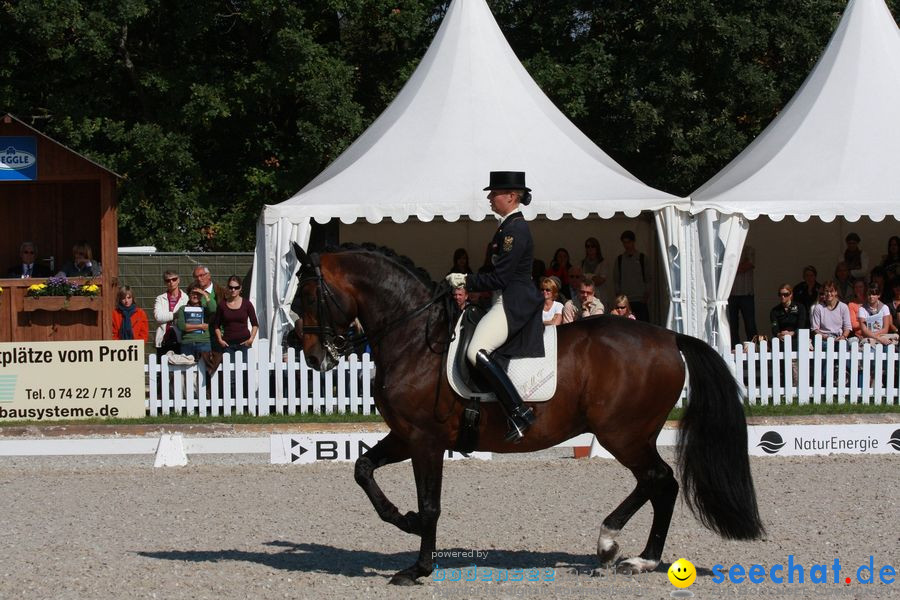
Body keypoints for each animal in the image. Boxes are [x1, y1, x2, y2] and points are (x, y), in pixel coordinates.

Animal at [292, 243, 764, 584]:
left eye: (308, 296)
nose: (314, 358)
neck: (413, 338)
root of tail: (668, 337)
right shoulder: (406, 435)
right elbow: (363, 468)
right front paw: (402, 522)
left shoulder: (425, 440)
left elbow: (430, 505)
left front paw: (418, 568)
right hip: (634, 434)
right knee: (661, 484)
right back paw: (641, 558)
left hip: (622, 434)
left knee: (658, 480)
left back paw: (613, 546)